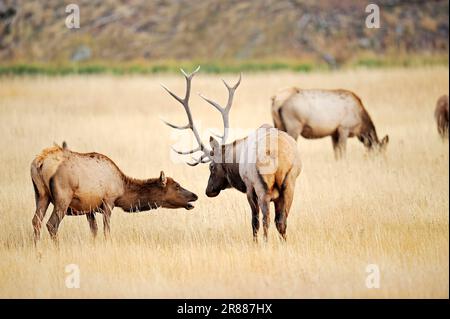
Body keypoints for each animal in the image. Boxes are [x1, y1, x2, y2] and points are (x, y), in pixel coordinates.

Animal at [29, 142, 196, 242]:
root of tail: (39, 162)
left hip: (41, 195)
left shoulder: (89, 208)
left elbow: (94, 231)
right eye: (177, 186)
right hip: (62, 197)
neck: (123, 189)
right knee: (51, 224)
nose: (195, 195)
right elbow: (106, 230)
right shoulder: (109, 201)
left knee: (36, 221)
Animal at [163, 68, 302, 242]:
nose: (208, 190)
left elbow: (254, 221)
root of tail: (280, 158)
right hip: (290, 183)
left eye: (211, 166)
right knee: (281, 221)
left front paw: (255, 243)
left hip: (262, 186)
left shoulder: (249, 187)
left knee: (265, 220)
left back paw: (265, 242)